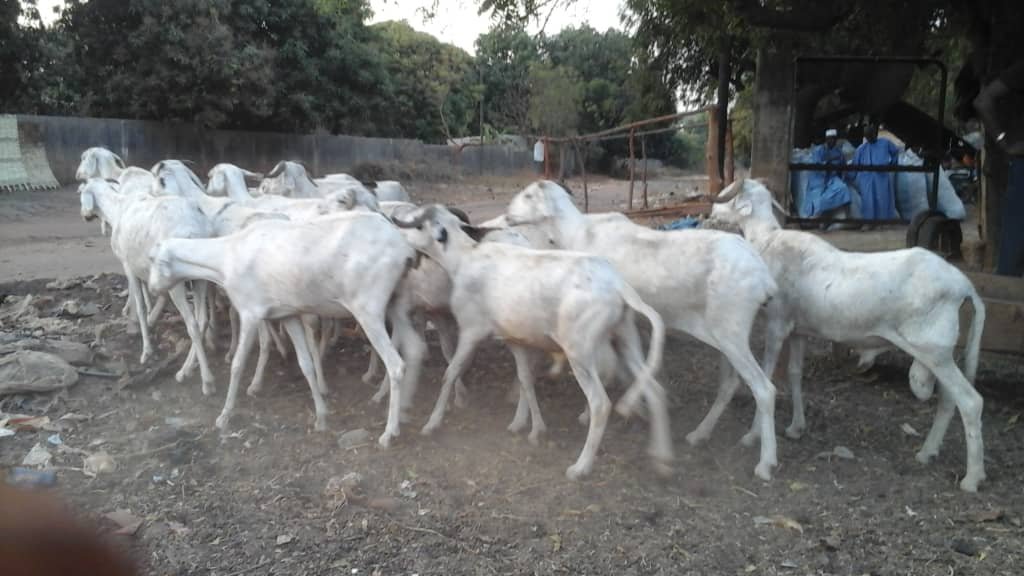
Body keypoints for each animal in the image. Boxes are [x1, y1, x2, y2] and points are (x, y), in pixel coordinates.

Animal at [78, 178, 216, 394]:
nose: (85, 215)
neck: (116, 210)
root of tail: (195, 225)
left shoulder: (128, 266)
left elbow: (141, 306)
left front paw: (146, 350)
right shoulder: (142, 268)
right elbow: (148, 298)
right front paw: (151, 320)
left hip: (177, 281)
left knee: (192, 324)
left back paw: (207, 382)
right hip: (200, 277)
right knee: (202, 320)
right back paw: (185, 370)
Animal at [148, 211, 422, 446]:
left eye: (154, 261)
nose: (152, 288)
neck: (226, 259)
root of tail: (404, 247)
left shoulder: (250, 312)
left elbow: (237, 365)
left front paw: (224, 415)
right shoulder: (288, 314)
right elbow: (305, 364)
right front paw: (321, 416)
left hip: (368, 309)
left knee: (396, 364)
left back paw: (389, 432)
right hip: (396, 302)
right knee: (414, 349)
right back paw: (404, 412)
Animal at [391, 205, 673, 480]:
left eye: (419, 225)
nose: (397, 230)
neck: (466, 258)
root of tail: (618, 286)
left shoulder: (471, 331)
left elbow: (450, 373)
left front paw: (432, 423)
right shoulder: (515, 340)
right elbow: (525, 380)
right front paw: (529, 427)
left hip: (579, 351)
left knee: (601, 404)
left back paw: (580, 467)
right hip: (625, 337)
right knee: (655, 389)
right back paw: (661, 459)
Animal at [505, 180, 781, 482]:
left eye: (529, 195)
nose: (507, 216)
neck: (577, 232)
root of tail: (765, 279)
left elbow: (607, 371)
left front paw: (595, 413)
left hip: (732, 332)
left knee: (764, 389)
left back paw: (766, 462)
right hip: (727, 337)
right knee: (730, 385)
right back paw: (702, 434)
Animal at [706, 178, 987, 492]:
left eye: (730, 197)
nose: (711, 212)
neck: (768, 241)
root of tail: (964, 286)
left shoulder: (777, 325)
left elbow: (767, 375)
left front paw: (753, 436)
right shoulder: (799, 330)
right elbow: (794, 374)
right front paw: (796, 427)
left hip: (933, 350)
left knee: (971, 401)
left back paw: (972, 478)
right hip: (944, 353)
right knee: (950, 400)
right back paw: (928, 453)